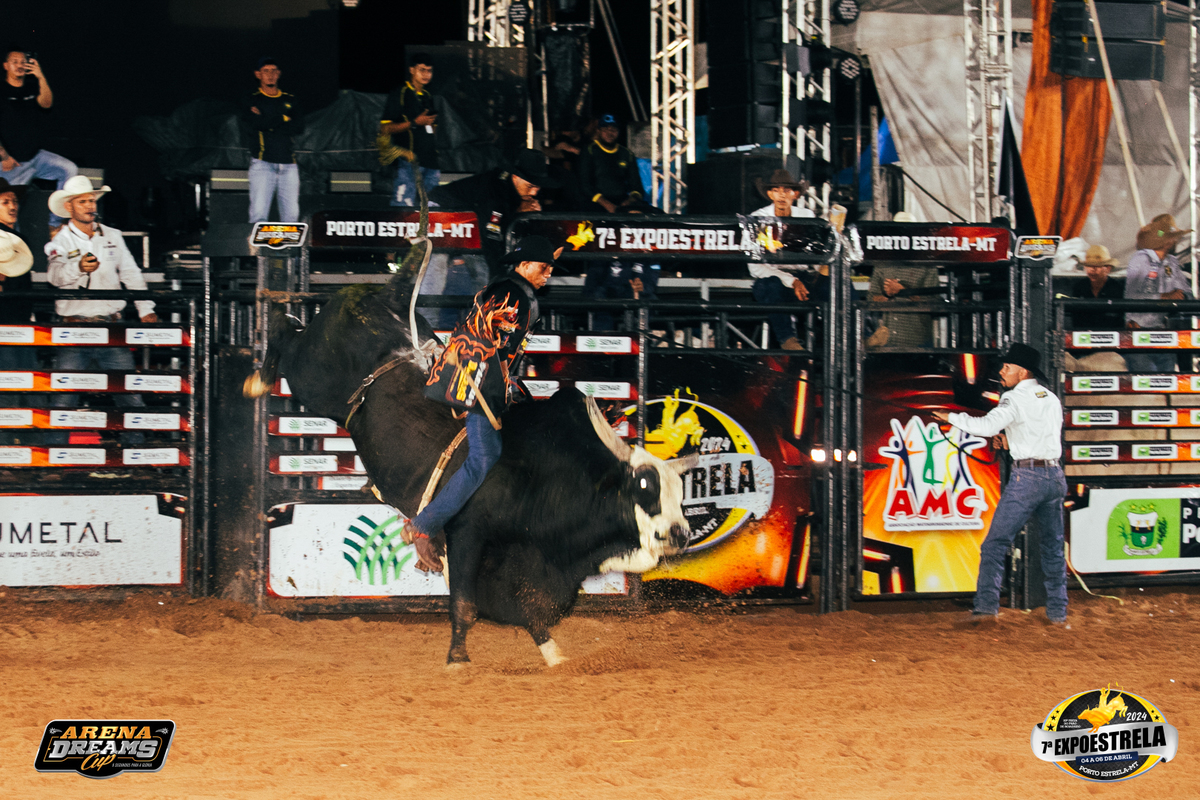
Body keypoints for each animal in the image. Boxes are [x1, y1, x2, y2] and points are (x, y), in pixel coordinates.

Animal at [245, 271, 691, 666]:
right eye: (644, 488)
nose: (681, 534)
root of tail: (391, 294)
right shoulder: (466, 535)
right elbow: (465, 605)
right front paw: (458, 659)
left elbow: (529, 615)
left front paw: (555, 658)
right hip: (312, 377)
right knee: (286, 333)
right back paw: (260, 372)